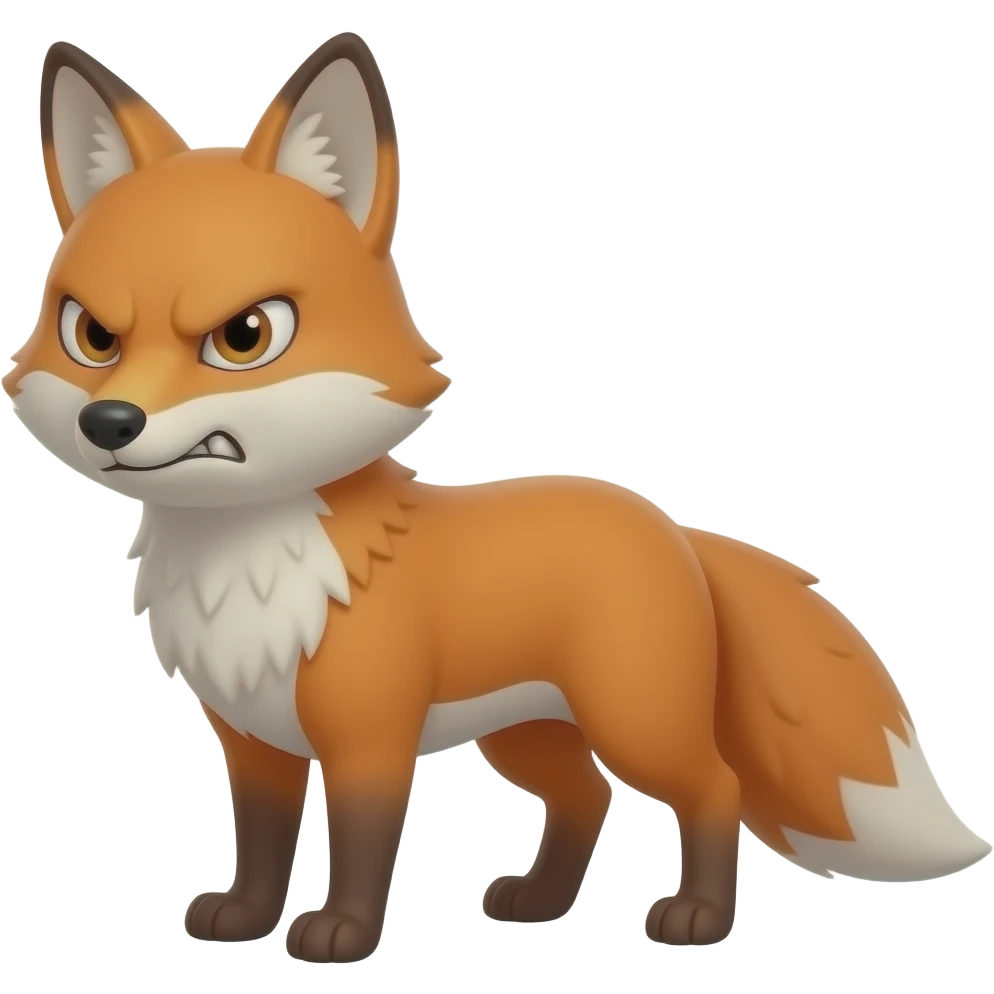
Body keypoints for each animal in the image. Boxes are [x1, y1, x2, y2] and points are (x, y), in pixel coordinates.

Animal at [5, 31, 991, 964]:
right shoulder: (254, 743)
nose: (109, 421)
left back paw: (699, 918)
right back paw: (541, 903)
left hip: (633, 721)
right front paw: (245, 919)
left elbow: (360, 846)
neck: (250, 566)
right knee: (588, 796)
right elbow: (261, 843)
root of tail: (673, 526)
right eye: (92, 336)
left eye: (245, 336)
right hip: (528, 734)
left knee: (716, 787)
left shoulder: (369, 740)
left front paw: (343, 935)